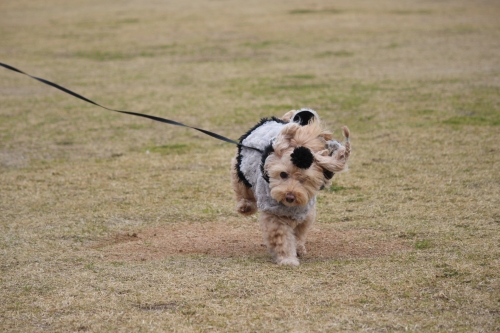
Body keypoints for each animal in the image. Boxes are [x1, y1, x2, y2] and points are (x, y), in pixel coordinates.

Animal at [229, 109, 350, 264]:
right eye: (283, 174)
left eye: (304, 179)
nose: (290, 196)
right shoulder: (275, 215)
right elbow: (282, 238)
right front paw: (288, 259)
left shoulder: (305, 214)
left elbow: (299, 234)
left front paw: (298, 248)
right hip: (241, 170)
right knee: (242, 189)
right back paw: (245, 206)